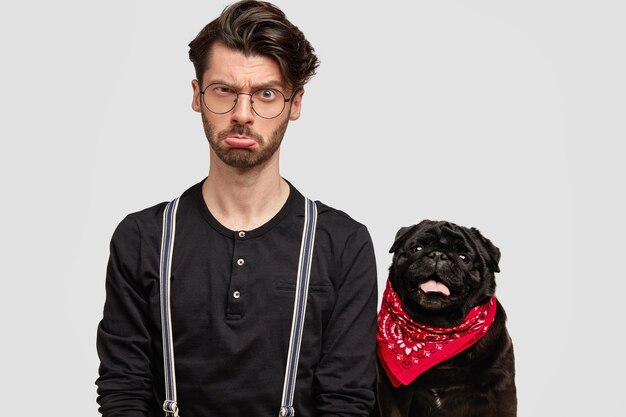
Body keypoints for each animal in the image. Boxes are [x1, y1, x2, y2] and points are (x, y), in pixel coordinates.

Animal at [372, 219, 516, 414]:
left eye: (464, 257)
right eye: (416, 248)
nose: (439, 254)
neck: (436, 329)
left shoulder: (500, 391)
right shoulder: (392, 393)